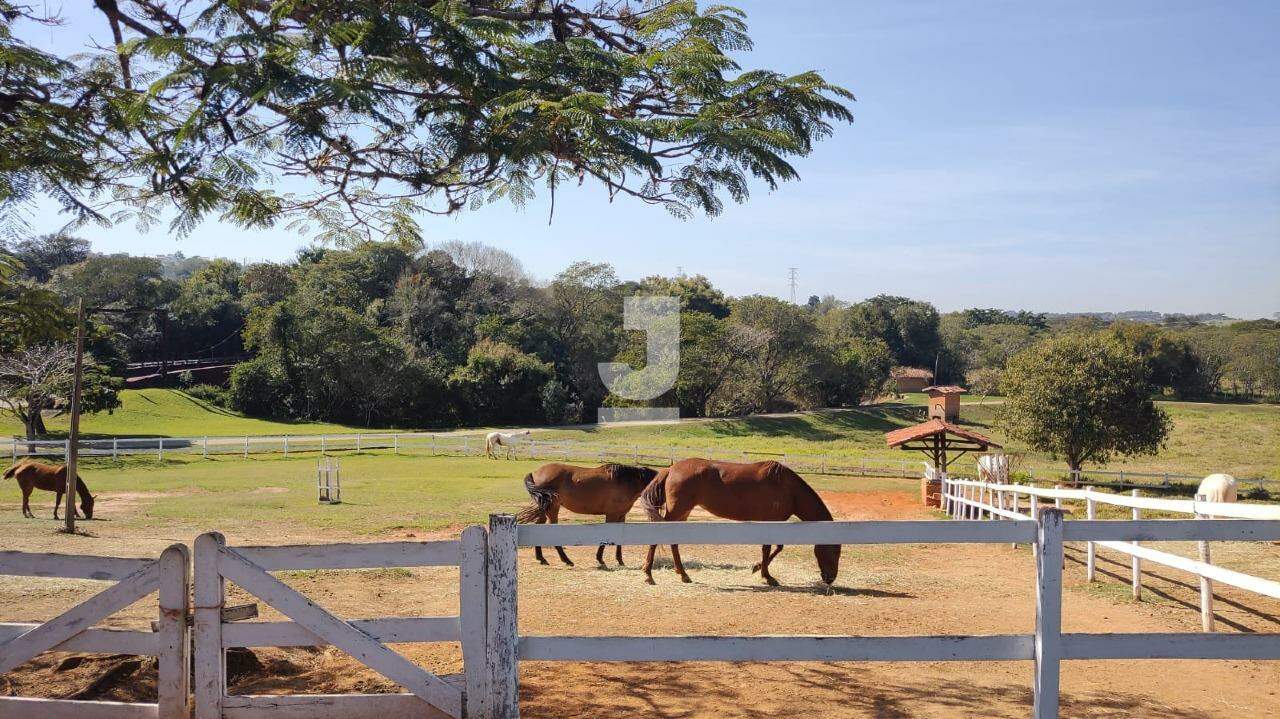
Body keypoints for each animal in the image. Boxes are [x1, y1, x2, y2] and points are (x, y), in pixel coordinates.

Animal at [519, 460, 660, 568]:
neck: (626, 481)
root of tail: (535, 473)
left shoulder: (621, 515)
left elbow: (620, 537)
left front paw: (620, 560)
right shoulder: (612, 515)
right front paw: (600, 559)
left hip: (544, 509)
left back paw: (542, 559)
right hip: (552, 509)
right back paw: (567, 560)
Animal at [640, 455, 839, 585]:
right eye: (834, 551)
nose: (830, 579)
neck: (787, 488)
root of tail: (670, 469)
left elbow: (775, 547)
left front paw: (758, 568)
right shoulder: (770, 520)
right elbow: (770, 548)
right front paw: (766, 575)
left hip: (683, 513)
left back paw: (683, 574)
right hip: (677, 511)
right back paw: (648, 575)